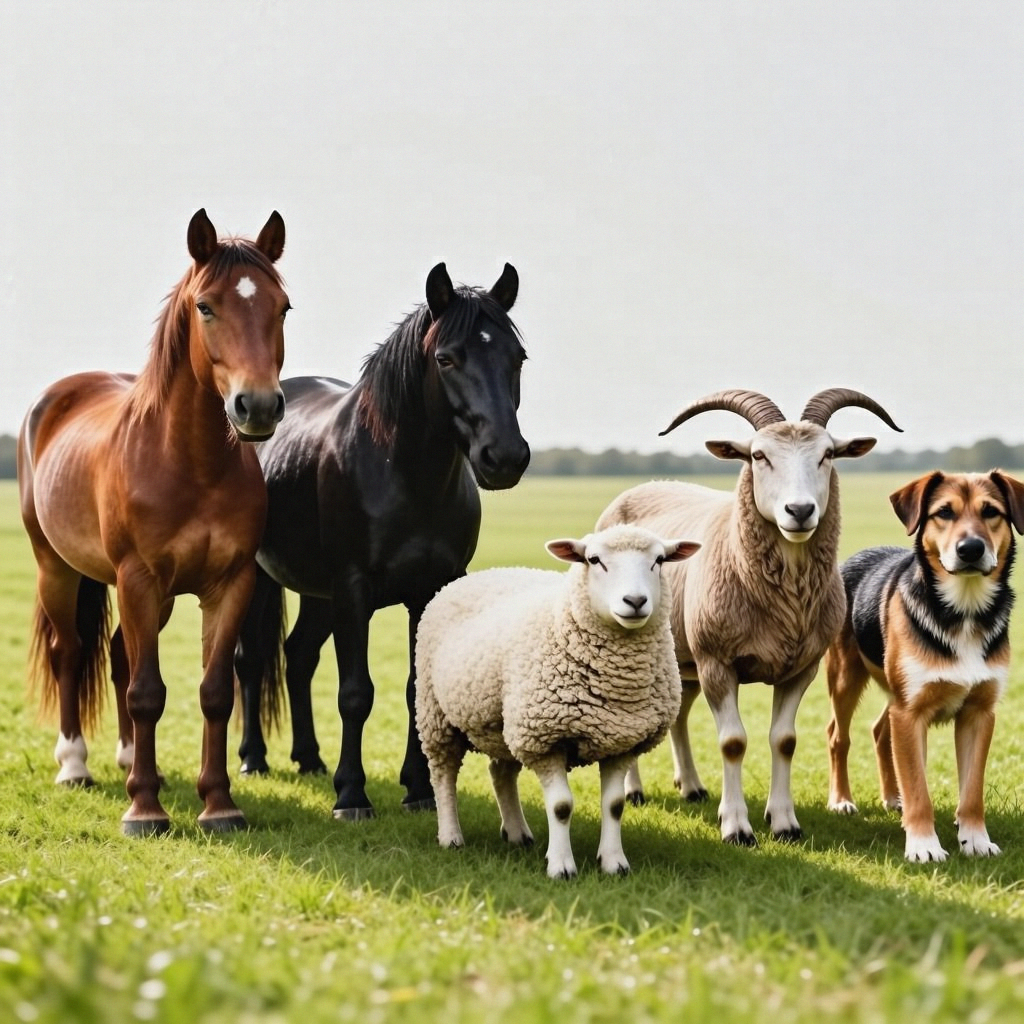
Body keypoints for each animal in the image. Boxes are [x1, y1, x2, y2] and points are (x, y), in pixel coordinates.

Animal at [18, 208, 290, 836]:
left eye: (283, 307)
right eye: (206, 306)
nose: (259, 406)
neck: (191, 464)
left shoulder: (229, 584)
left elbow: (214, 692)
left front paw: (218, 805)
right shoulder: (138, 577)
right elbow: (147, 691)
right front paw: (144, 810)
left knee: (120, 654)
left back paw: (129, 760)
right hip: (57, 570)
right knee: (70, 653)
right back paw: (75, 765)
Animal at [234, 261, 530, 819]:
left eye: (517, 357)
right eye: (446, 358)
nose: (504, 457)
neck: (403, 473)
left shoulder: (428, 591)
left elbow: (417, 690)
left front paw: (418, 789)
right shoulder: (353, 590)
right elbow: (356, 692)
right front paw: (352, 794)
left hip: (317, 593)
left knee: (298, 656)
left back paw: (309, 759)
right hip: (261, 579)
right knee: (250, 660)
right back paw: (253, 759)